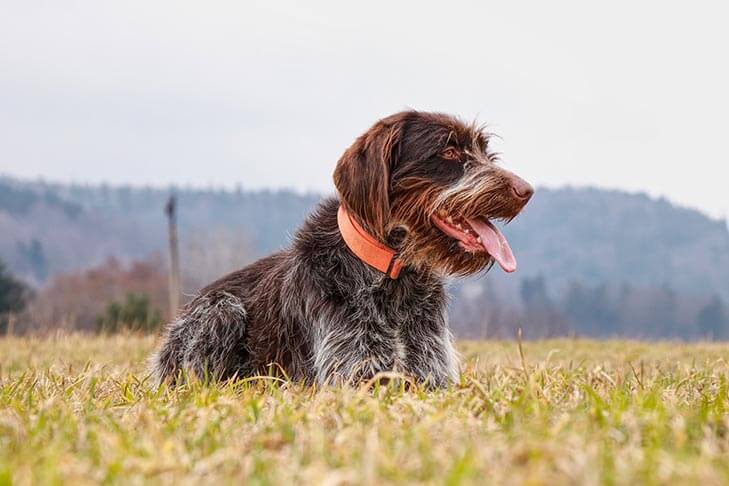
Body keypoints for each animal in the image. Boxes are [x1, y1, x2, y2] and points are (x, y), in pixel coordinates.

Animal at [151, 110, 532, 388]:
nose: (526, 190)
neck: (394, 278)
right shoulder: (354, 375)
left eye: (486, 153)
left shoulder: (432, 374)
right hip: (220, 310)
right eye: (450, 151)